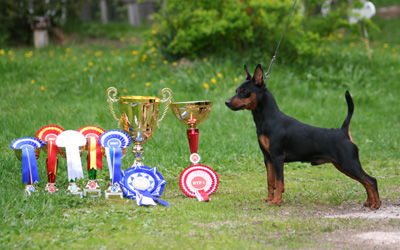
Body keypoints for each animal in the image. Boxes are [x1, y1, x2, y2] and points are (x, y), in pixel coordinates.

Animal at [227, 64, 380, 209]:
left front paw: (276, 201)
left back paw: (376, 204)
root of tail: (343, 132)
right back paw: (369, 202)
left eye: (244, 92)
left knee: (371, 180)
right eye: (236, 91)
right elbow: (271, 181)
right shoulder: (268, 158)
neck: (269, 118)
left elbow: (279, 182)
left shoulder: (277, 158)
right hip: (342, 165)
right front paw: (269, 199)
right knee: (365, 181)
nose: (226, 102)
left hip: (349, 163)